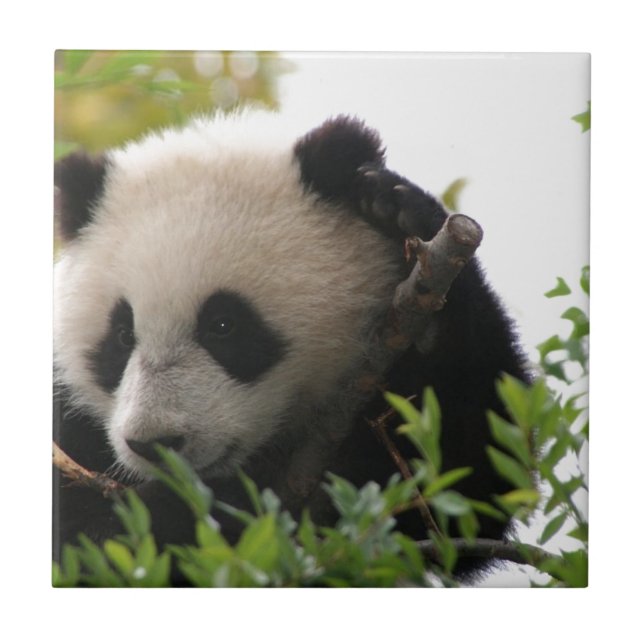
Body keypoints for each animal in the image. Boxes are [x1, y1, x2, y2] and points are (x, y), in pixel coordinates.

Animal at [53, 110, 529, 580]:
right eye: (121, 336)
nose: (155, 443)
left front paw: (400, 212)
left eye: (224, 325)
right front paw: (188, 513)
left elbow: (467, 487)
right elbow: (90, 543)